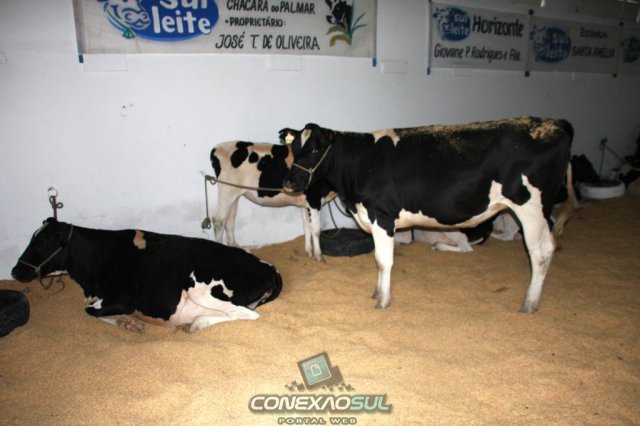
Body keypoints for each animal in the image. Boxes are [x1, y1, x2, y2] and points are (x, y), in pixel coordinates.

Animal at [11, 218, 282, 333]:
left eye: (39, 243)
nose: (14, 270)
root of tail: (269, 267)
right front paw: (128, 323)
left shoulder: (124, 297)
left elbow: (90, 311)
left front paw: (127, 321)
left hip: (200, 288)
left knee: (245, 313)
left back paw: (196, 323)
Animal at [280, 116, 576, 313]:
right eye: (294, 149)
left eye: (315, 149)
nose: (289, 182)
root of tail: (556, 123)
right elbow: (378, 260)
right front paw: (377, 292)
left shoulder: (382, 216)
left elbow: (384, 261)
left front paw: (383, 300)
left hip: (531, 209)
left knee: (540, 252)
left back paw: (529, 303)